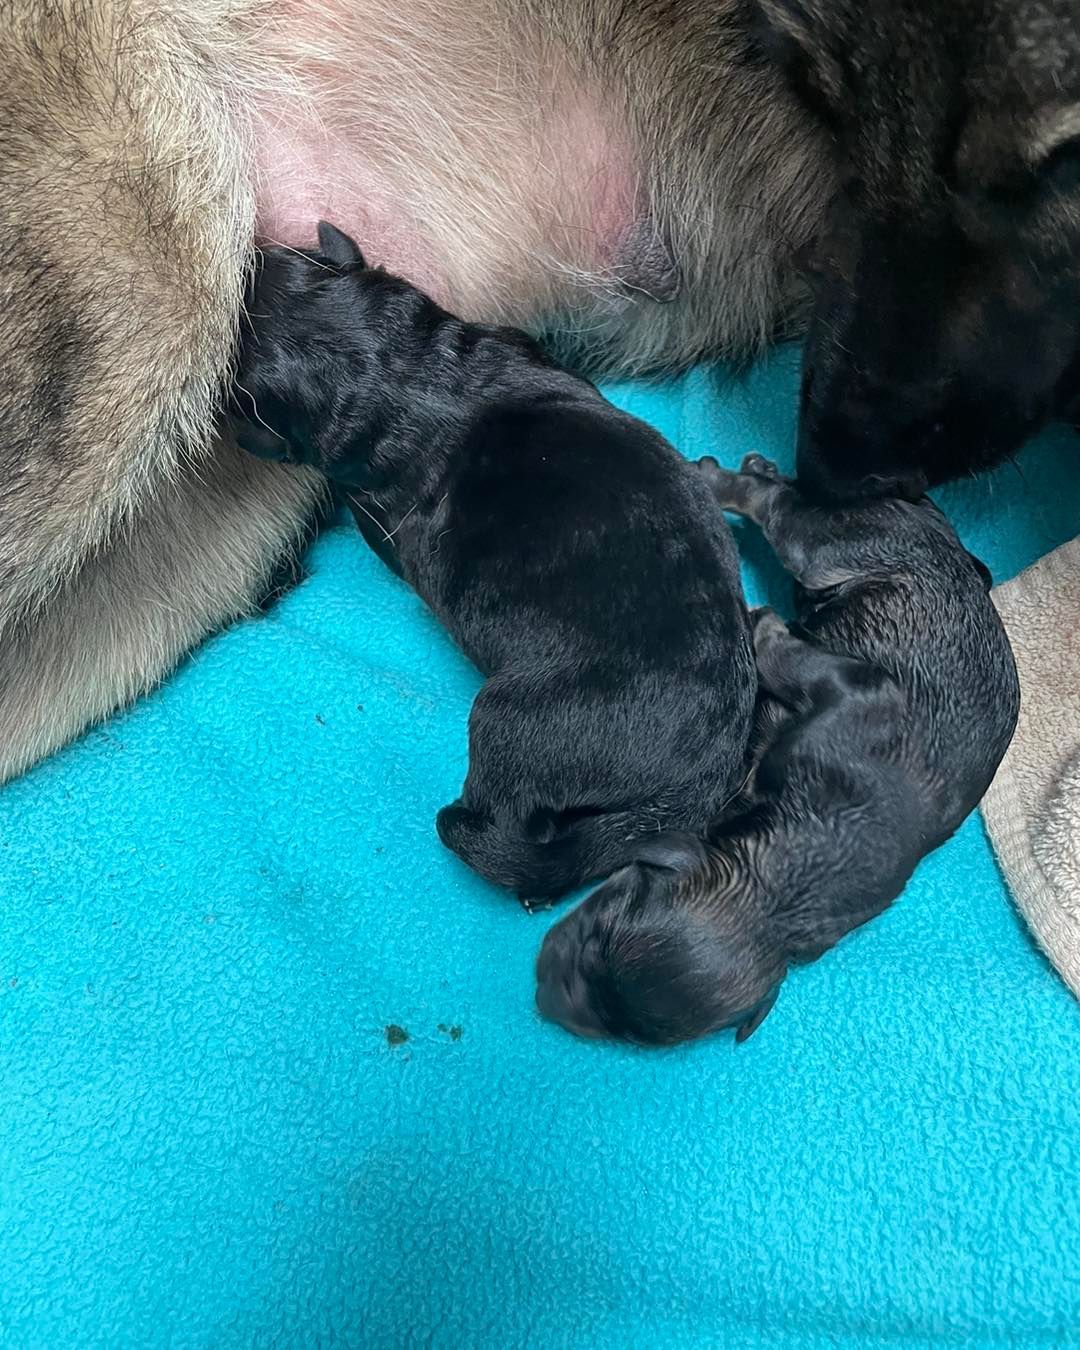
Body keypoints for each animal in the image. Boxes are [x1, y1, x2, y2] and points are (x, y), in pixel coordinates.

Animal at [537, 453, 1020, 1042]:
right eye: (598, 929)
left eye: (627, 1036)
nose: (541, 998)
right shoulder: (860, 693)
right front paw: (764, 627)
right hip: (833, 544)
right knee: (772, 501)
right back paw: (723, 475)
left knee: (779, 503)